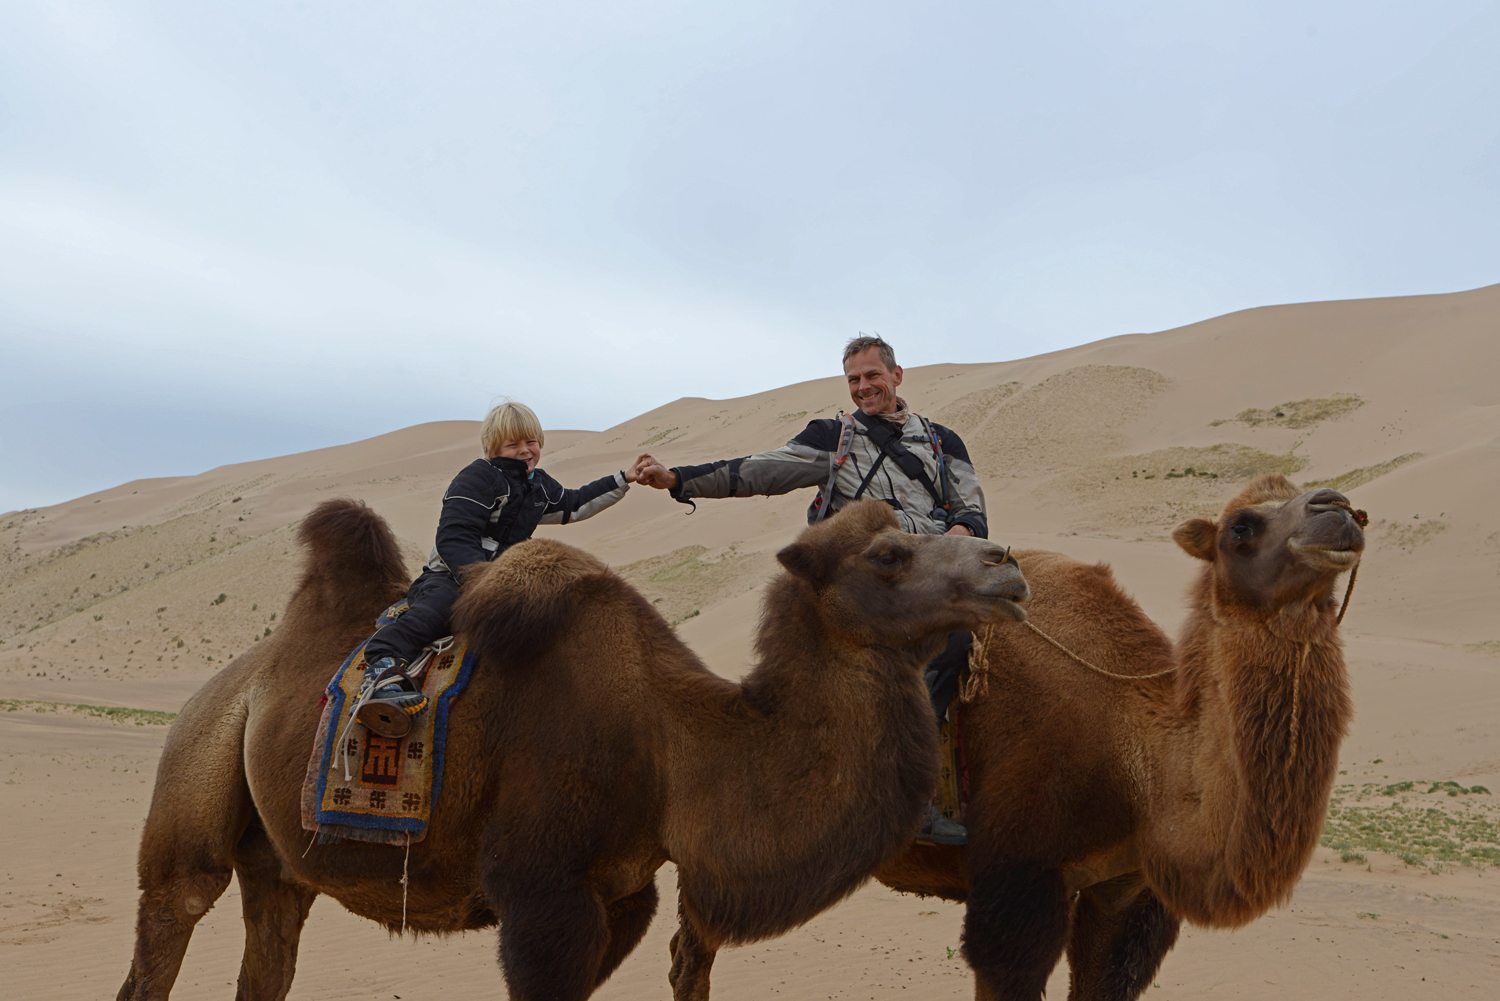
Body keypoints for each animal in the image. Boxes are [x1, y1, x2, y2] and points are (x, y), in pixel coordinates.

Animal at [117, 498, 1032, 996]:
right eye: (889, 553)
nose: (1007, 562)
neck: (673, 748)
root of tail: (227, 685)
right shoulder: (543, 893)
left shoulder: (623, 897)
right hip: (191, 786)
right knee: (169, 921)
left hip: (279, 862)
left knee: (265, 962)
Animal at [669, 477, 1374, 1001]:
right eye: (1240, 528)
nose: (1339, 510)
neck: (1134, 757)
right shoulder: (1018, 883)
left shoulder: (1125, 892)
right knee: (693, 950)